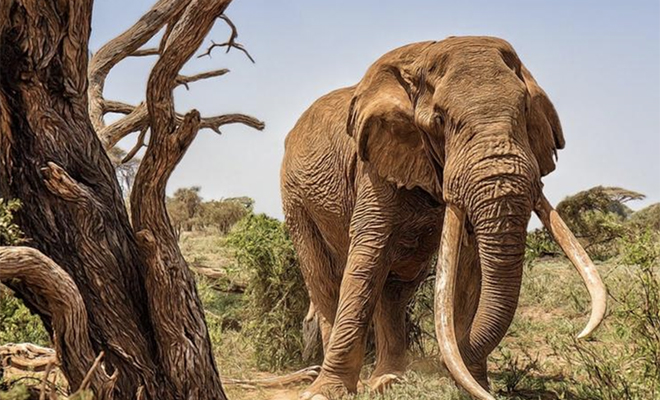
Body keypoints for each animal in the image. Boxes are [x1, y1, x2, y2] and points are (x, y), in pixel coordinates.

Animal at [280, 36, 608, 400]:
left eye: (524, 111)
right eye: (439, 120)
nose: (439, 366)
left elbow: (469, 264)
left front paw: (473, 385)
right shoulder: (373, 165)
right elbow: (368, 254)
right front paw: (326, 393)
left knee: (397, 286)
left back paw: (389, 379)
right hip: (295, 198)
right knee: (326, 282)